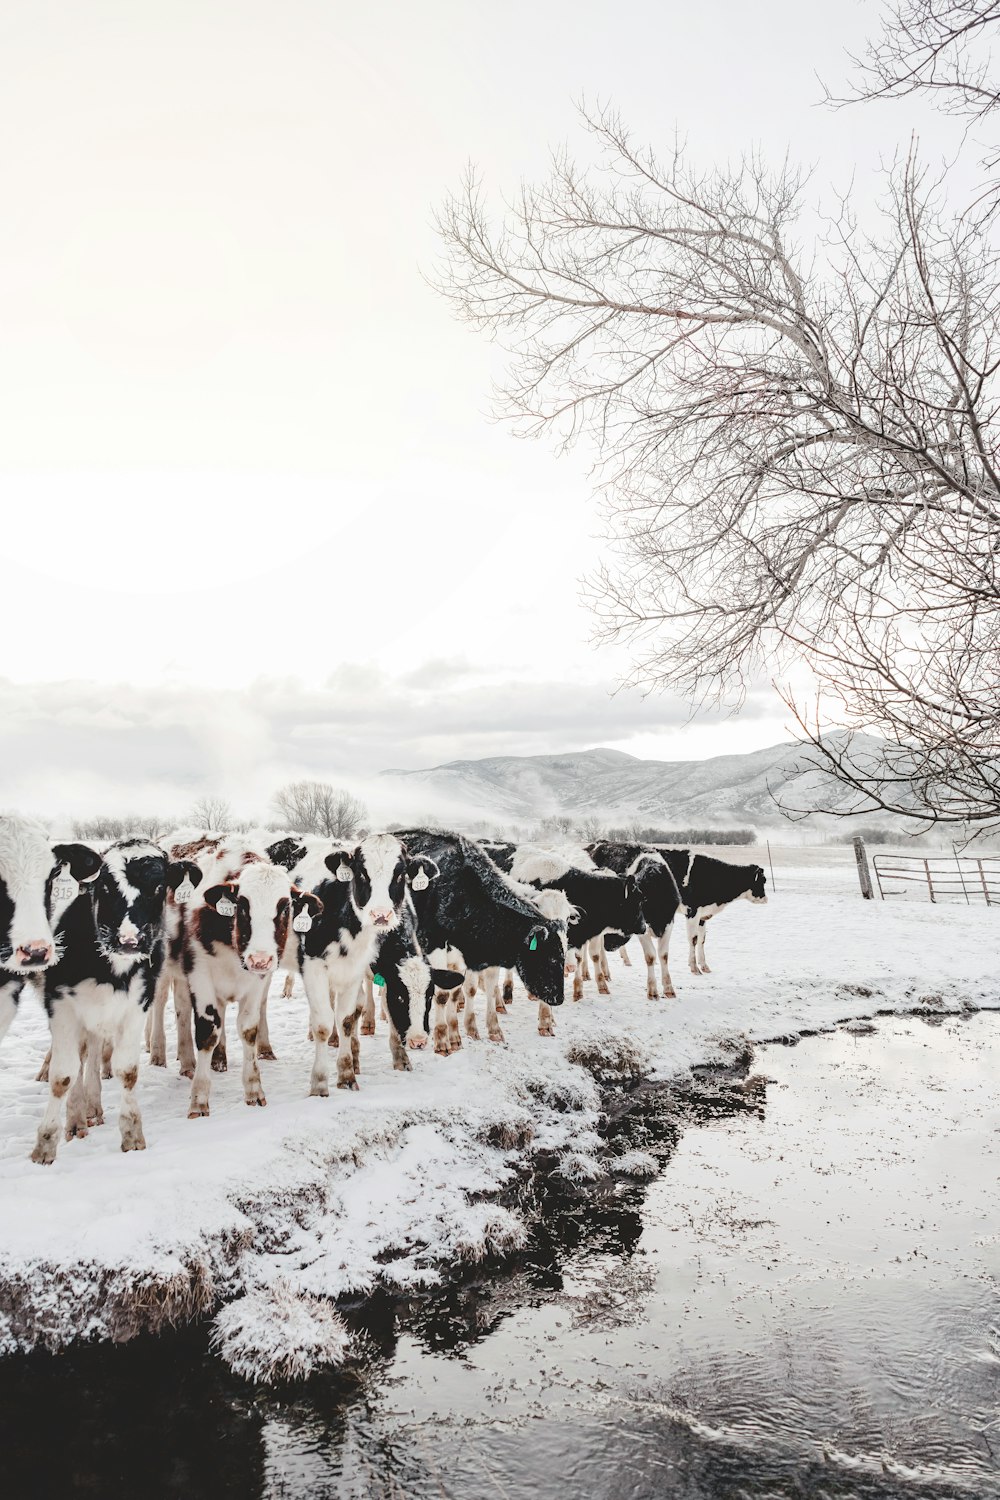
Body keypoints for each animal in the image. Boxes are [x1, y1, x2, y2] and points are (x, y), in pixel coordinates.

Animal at [29, 840, 199, 1164]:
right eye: (105, 886)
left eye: (159, 887)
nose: (129, 940)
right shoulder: (61, 1007)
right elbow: (63, 1075)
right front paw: (45, 1145)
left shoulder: (136, 1005)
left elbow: (127, 1070)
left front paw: (132, 1134)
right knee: (79, 1058)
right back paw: (76, 1118)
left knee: (92, 1052)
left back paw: (91, 1108)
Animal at [389, 834, 566, 1056]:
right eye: (550, 958)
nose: (559, 998)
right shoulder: (434, 945)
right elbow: (441, 995)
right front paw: (441, 1041)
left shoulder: (463, 955)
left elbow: (460, 991)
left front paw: (460, 1036)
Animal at [587, 846, 689, 996]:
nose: (609, 946)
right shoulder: (642, 929)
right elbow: (650, 956)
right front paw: (652, 990)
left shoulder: (669, 923)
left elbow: (663, 955)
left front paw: (668, 988)